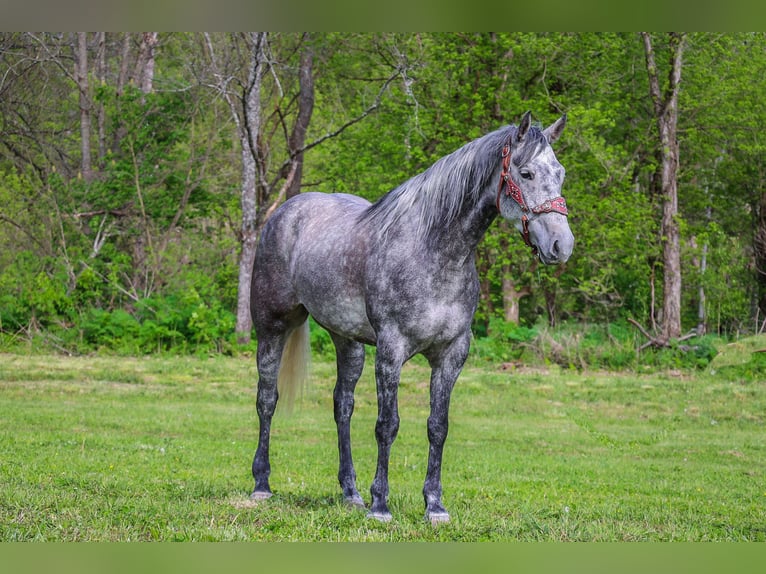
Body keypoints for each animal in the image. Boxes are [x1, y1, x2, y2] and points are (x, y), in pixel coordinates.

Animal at [249, 112, 572, 528]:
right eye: (527, 173)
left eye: (560, 173)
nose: (561, 246)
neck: (434, 251)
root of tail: (284, 213)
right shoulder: (391, 350)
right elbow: (387, 425)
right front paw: (380, 505)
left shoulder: (451, 354)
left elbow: (438, 427)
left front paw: (434, 505)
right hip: (271, 327)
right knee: (267, 399)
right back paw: (262, 485)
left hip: (347, 341)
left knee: (342, 406)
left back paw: (351, 493)